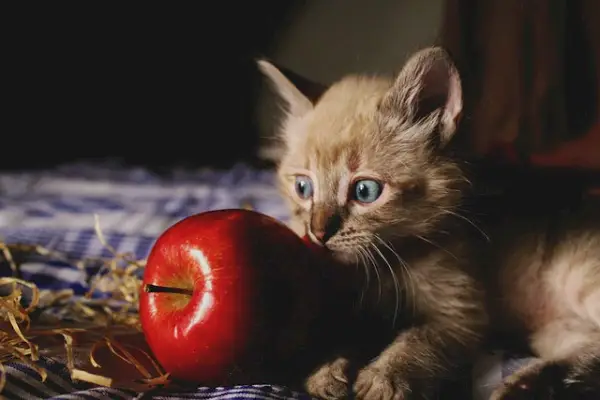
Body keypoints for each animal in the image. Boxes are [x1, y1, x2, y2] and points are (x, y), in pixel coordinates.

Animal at [258, 47, 600, 400]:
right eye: (303, 188)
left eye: (365, 191)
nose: (318, 233)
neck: (383, 265)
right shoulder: (352, 308)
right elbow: (336, 333)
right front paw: (324, 371)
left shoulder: (461, 312)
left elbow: (418, 341)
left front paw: (386, 379)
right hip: (552, 331)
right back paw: (527, 386)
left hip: (580, 281)